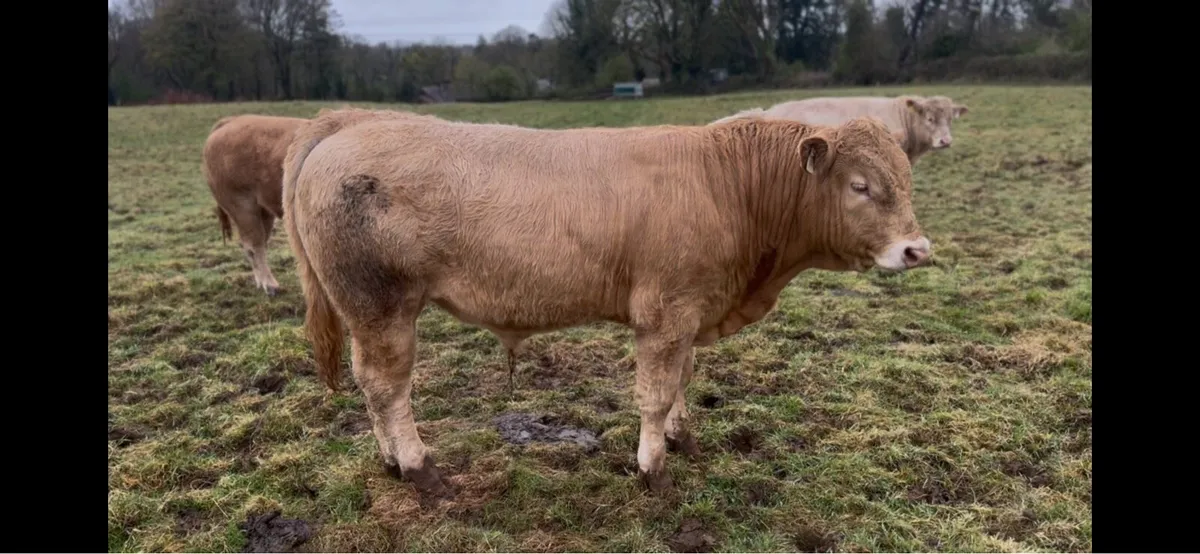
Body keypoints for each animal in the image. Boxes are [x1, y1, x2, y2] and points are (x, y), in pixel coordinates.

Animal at [281, 107, 934, 498]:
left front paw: (682, 438)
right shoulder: (665, 313)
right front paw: (653, 469)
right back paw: (419, 468)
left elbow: (681, 381)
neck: (728, 187)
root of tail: (351, 120)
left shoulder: (690, 313)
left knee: (369, 384)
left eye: (907, 181)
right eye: (860, 186)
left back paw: (392, 462)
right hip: (381, 306)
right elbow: (654, 393)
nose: (917, 249)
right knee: (387, 387)